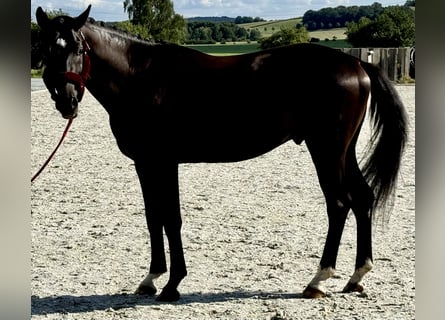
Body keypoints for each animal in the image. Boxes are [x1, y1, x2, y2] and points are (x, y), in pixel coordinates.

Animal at [36, 5, 408, 302]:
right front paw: (151, 278)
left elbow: (171, 218)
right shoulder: (145, 164)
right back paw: (356, 277)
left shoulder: (163, 162)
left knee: (340, 204)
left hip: (327, 150)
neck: (141, 78)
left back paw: (318, 280)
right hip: (343, 151)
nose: (66, 100)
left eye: (78, 47)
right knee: (362, 198)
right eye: (45, 47)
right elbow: (154, 217)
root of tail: (356, 63)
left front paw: (173, 284)